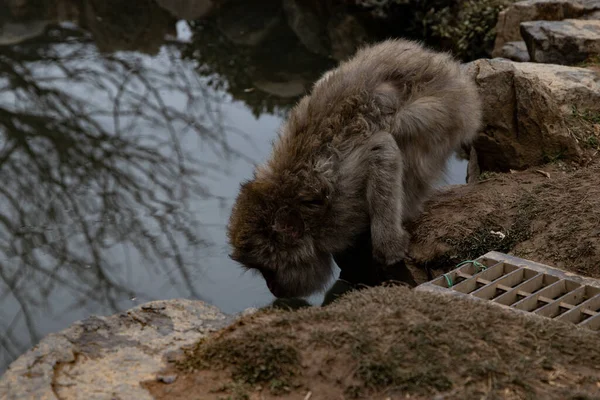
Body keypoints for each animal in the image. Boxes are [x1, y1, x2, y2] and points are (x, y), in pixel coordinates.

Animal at [225, 39, 482, 298]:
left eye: (269, 269)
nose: (272, 287)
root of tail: (440, 64)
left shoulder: (343, 192)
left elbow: (382, 149)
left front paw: (389, 249)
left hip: (447, 112)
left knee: (401, 126)